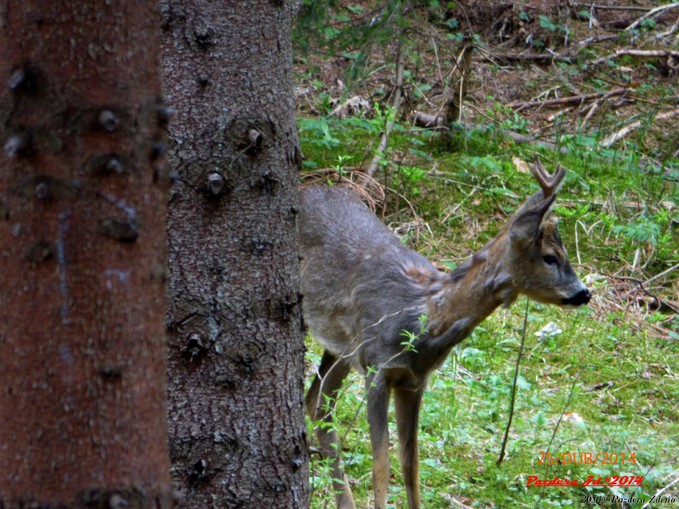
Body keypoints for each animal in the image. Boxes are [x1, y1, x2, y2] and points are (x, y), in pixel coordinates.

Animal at [298, 158, 588, 508]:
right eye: (551, 257)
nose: (584, 293)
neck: (424, 316)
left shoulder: (413, 380)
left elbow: (411, 466)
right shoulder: (376, 367)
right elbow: (382, 465)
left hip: (341, 346)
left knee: (318, 402)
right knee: (319, 403)